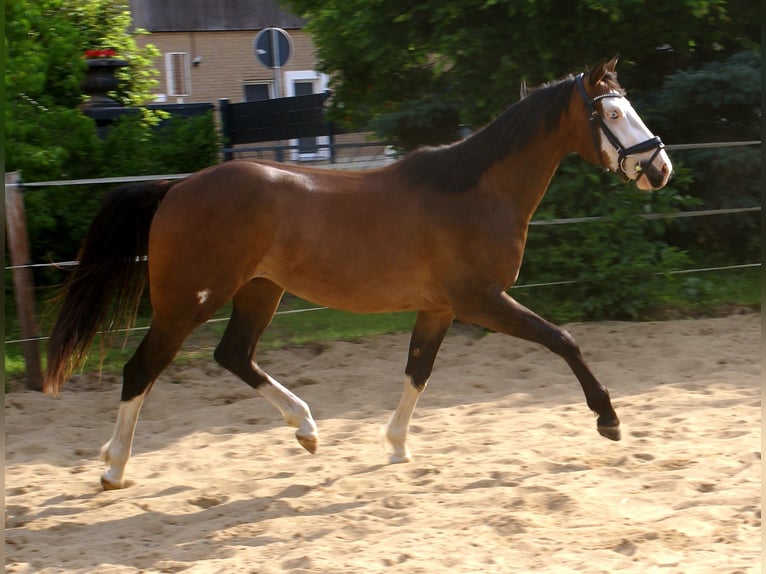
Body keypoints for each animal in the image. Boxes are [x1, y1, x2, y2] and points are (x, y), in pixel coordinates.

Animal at [45, 57, 671, 490]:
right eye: (612, 113)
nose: (660, 168)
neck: (474, 192)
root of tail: (176, 188)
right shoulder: (482, 300)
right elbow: (563, 341)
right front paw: (609, 420)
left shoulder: (439, 307)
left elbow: (418, 370)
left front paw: (395, 445)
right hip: (188, 301)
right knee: (141, 369)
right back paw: (114, 468)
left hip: (259, 292)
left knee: (233, 355)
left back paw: (306, 429)